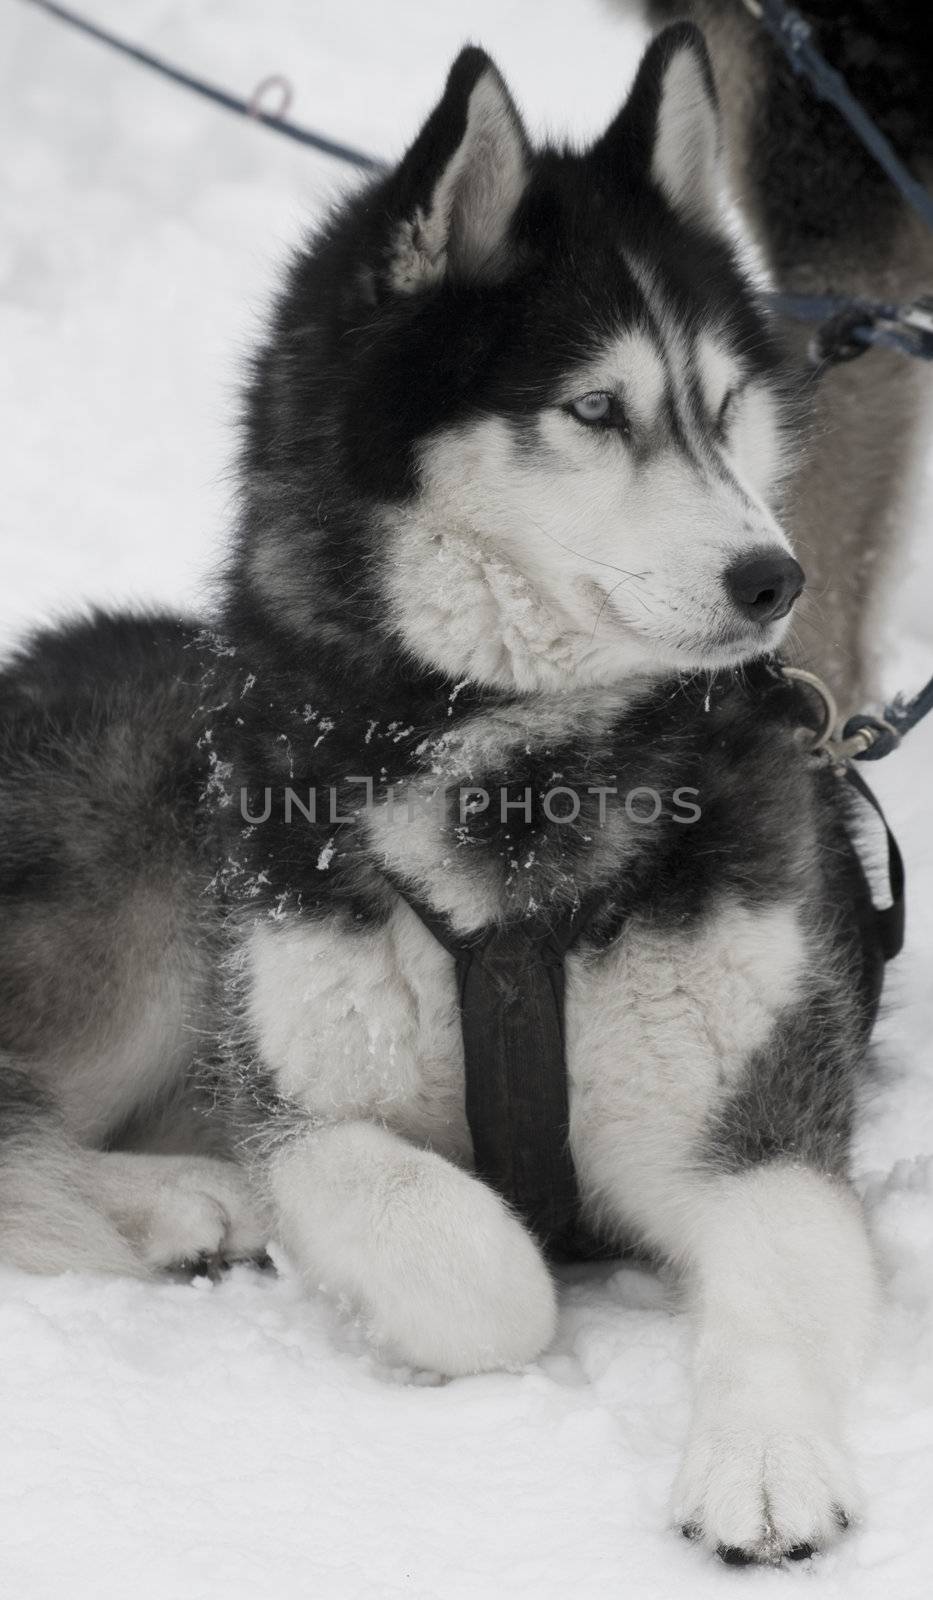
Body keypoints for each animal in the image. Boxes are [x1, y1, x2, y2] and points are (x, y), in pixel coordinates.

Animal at [0, 28, 896, 1561]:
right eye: (595, 409)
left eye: (723, 409)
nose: (774, 577)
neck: (517, 774)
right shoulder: (301, 1101)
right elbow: (474, 1269)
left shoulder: (761, 1126)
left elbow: (773, 1290)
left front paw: (764, 1459)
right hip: (153, 912)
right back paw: (175, 1197)